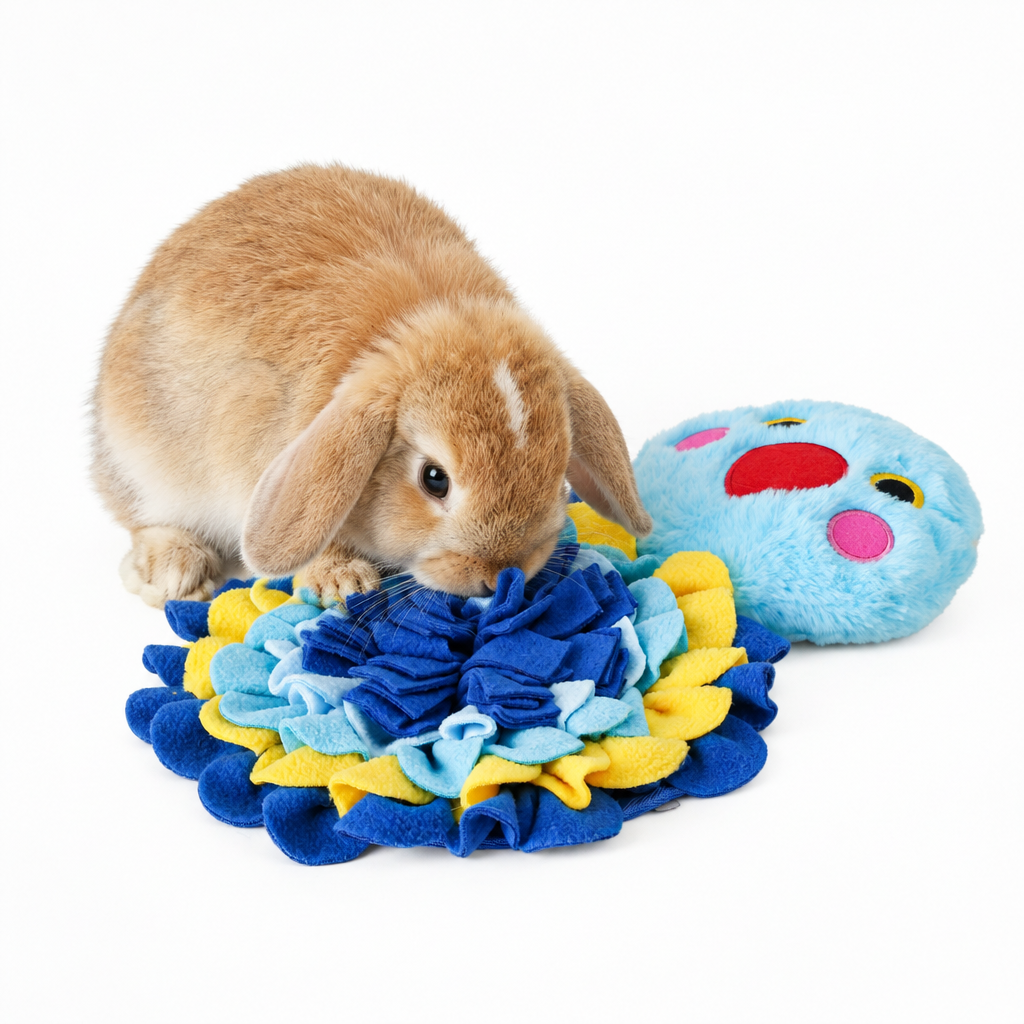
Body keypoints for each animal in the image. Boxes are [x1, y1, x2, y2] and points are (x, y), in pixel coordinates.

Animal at [91, 164, 653, 607]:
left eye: (559, 470)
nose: (497, 575)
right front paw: (341, 583)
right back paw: (176, 573)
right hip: (138, 455)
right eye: (434, 479)